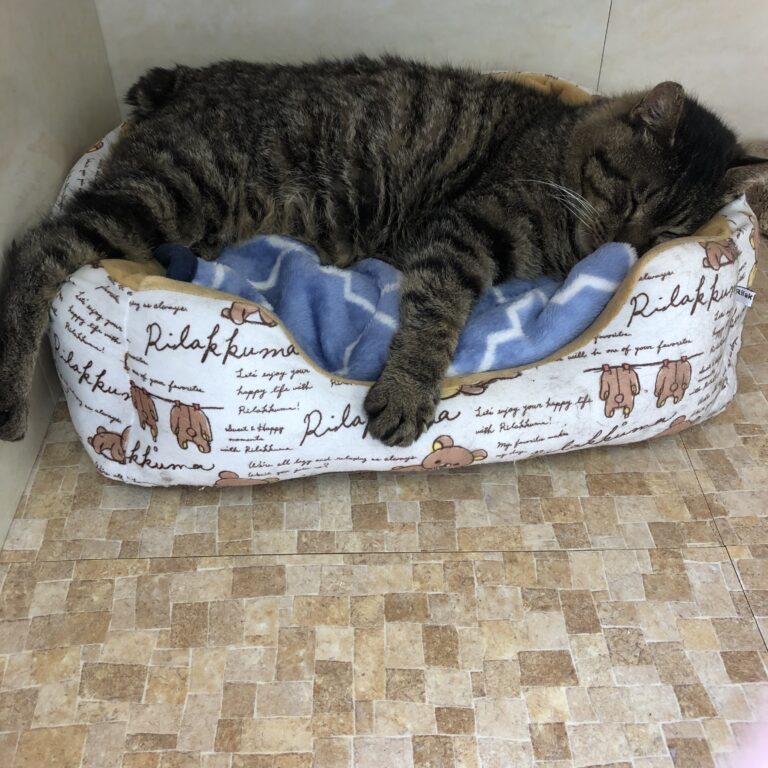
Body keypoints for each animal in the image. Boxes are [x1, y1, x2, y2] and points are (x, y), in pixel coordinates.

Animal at [0, 56, 764, 446]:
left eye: (668, 235)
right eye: (632, 195)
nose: (625, 248)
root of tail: (189, 79)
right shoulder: (463, 232)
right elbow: (434, 316)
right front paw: (406, 392)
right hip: (177, 190)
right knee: (38, 248)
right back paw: (11, 401)